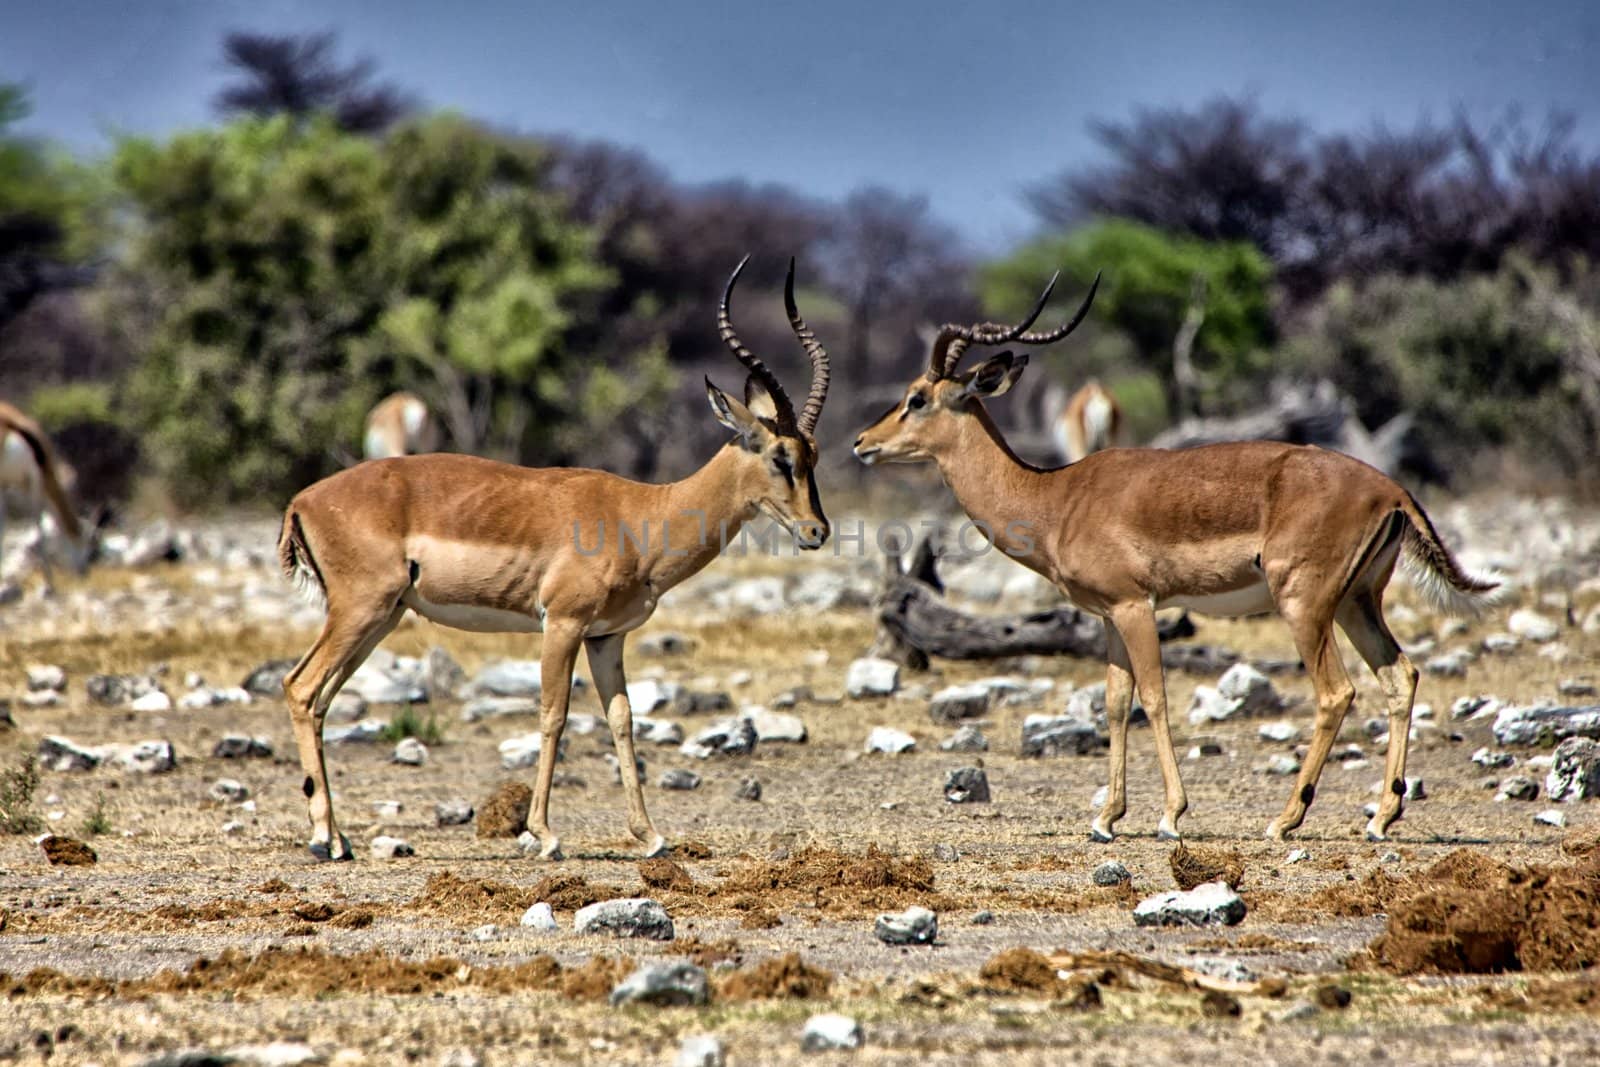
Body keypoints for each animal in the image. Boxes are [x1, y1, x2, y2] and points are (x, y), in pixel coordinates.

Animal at [0, 404, 93, 598]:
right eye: (83, 540)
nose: (84, 571)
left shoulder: (4, 484)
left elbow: (3, 528)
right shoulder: (35, 479)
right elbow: (39, 527)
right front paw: (49, 586)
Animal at [281, 255, 832, 857]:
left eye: (814, 454)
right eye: (780, 457)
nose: (817, 531)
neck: (642, 516)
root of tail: (303, 500)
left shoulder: (607, 636)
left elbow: (622, 719)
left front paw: (650, 835)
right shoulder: (562, 624)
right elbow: (553, 715)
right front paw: (542, 834)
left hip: (383, 617)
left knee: (320, 697)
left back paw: (339, 838)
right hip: (362, 610)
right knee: (301, 688)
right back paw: (323, 839)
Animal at [857, 273, 1491, 844]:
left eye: (916, 398)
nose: (862, 443)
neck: (1055, 497)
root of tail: (1390, 489)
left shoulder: (1137, 606)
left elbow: (1155, 699)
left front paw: (1169, 816)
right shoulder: (1108, 616)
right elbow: (1115, 703)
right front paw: (1107, 819)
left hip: (1305, 604)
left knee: (1336, 693)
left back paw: (1285, 820)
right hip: (1356, 603)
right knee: (1400, 676)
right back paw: (1381, 818)